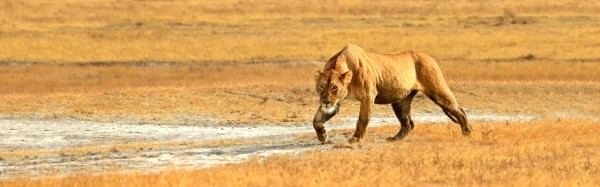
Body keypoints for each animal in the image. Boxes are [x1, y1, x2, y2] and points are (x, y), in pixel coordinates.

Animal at [312, 44, 472, 144]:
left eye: (334, 87)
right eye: (321, 87)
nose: (325, 101)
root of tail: (429, 56)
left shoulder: (368, 96)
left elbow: (362, 119)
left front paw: (356, 139)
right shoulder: (336, 102)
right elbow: (316, 120)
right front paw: (323, 136)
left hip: (438, 91)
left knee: (460, 110)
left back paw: (467, 132)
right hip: (400, 102)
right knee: (408, 124)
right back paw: (395, 139)